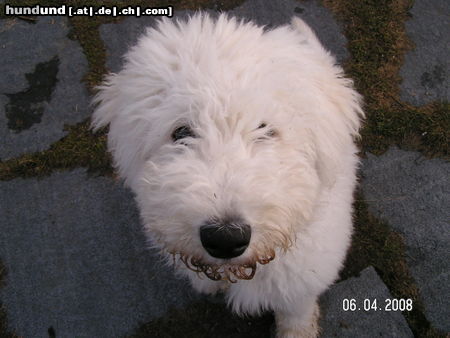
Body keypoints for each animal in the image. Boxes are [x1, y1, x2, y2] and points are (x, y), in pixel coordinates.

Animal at [93, 13, 364, 338]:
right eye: (181, 132)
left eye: (265, 130)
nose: (224, 238)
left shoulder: (304, 277)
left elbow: (295, 309)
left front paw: (297, 331)